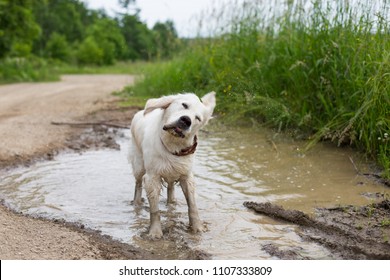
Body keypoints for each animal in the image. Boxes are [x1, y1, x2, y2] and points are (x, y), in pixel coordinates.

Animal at [130, 92, 216, 238]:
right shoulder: (152, 177)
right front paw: (155, 233)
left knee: (170, 188)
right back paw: (137, 204)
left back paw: (172, 203)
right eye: (184, 105)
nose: (186, 120)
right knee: (138, 184)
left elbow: (192, 205)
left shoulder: (186, 176)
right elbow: (155, 210)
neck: (172, 145)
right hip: (139, 165)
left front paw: (197, 228)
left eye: (198, 118)